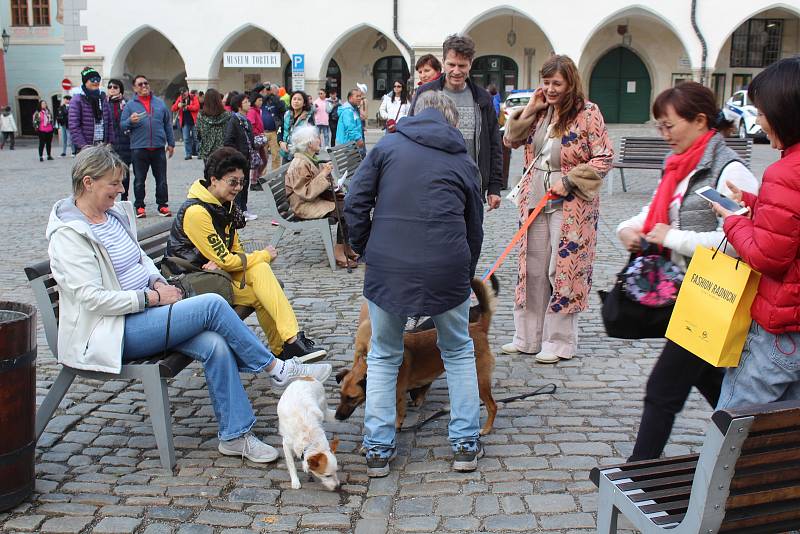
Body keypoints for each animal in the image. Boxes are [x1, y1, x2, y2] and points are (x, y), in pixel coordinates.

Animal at [334, 278, 496, 438]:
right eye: (341, 395)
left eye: (352, 398)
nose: (336, 417)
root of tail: (478, 327)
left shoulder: (398, 395)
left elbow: (398, 415)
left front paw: (395, 428)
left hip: (479, 379)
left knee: (493, 406)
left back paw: (486, 429)